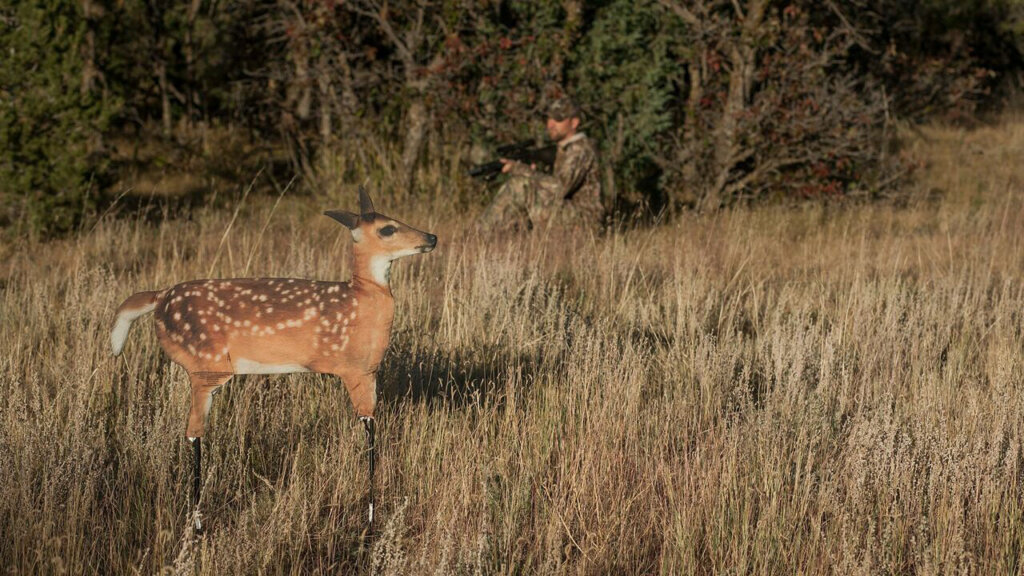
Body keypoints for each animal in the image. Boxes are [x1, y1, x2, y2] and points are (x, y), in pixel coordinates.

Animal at [110, 186, 437, 534]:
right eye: (387, 229)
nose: (431, 237)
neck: (363, 300)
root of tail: (159, 298)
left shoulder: (366, 372)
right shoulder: (357, 369)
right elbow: (370, 433)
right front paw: (371, 521)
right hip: (207, 365)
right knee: (193, 432)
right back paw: (197, 524)